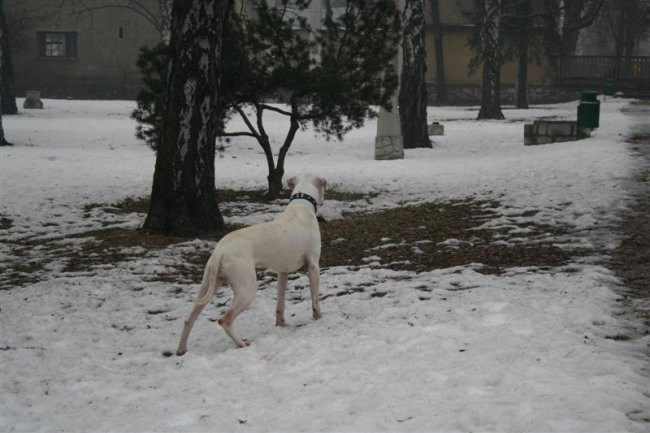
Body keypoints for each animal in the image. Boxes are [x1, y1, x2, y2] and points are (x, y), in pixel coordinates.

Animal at [176, 173, 324, 354]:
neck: (301, 207)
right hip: (247, 290)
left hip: (208, 285)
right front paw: (319, 319)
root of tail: (220, 251)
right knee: (224, 320)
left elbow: (280, 305)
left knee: (189, 319)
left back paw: (181, 350)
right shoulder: (313, 266)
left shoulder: (282, 272)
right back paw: (241, 343)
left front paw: (281, 325)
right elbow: (315, 301)